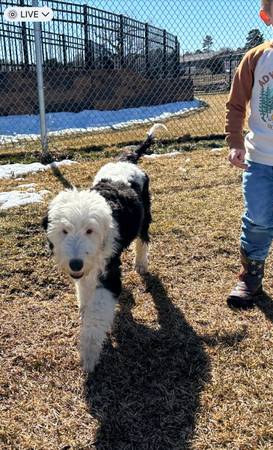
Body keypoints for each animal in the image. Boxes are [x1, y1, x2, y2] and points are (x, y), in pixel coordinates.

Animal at [42, 124, 165, 372]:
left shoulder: (108, 273)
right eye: (64, 231)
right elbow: (85, 291)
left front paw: (89, 354)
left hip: (145, 216)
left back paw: (141, 263)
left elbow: (97, 313)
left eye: (90, 230)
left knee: (143, 239)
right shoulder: (86, 271)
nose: (75, 264)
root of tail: (127, 160)